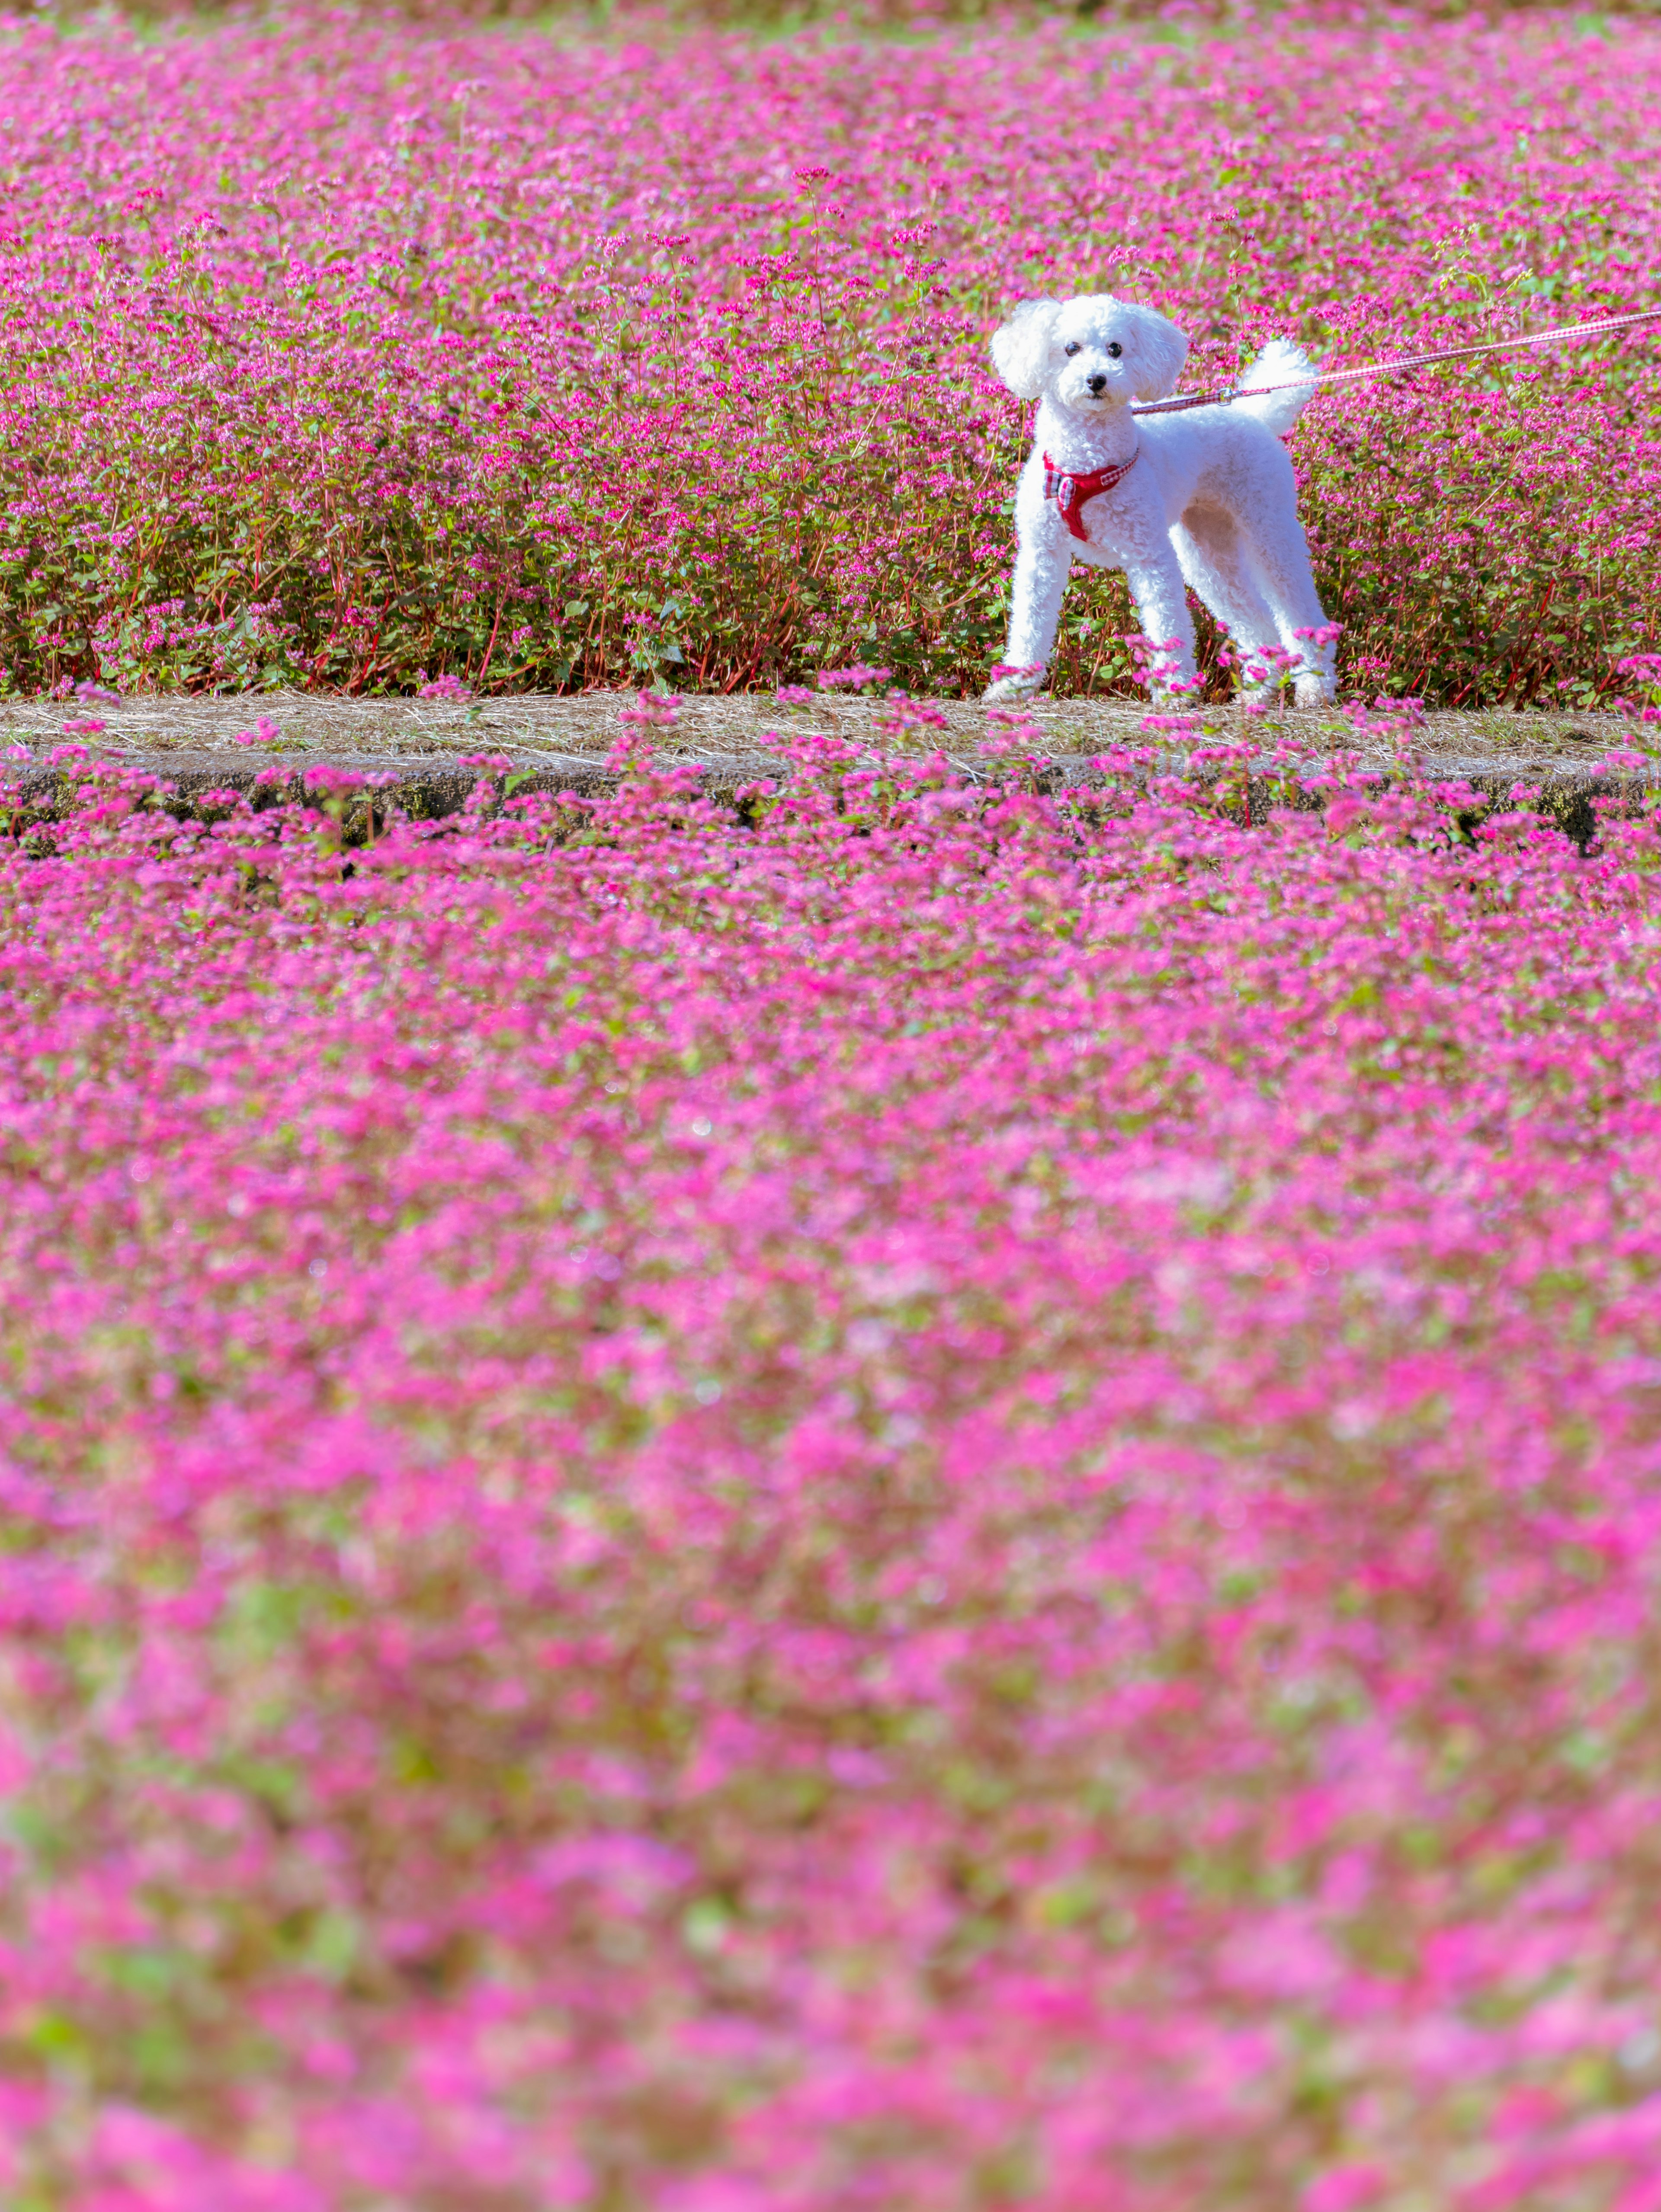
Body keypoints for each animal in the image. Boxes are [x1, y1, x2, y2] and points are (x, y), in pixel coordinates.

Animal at [986, 296, 1336, 707]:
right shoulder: (1041, 555)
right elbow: (1029, 622)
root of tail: (1250, 414)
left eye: (1115, 349)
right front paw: (1013, 686)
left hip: (1268, 525)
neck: (1085, 465)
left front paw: (1175, 690)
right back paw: (1257, 690)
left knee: (1299, 610)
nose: (1097, 380)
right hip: (1208, 552)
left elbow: (1167, 620)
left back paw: (1315, 687)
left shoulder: (1151, 555)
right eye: (1071, 348)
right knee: (1257, 622)